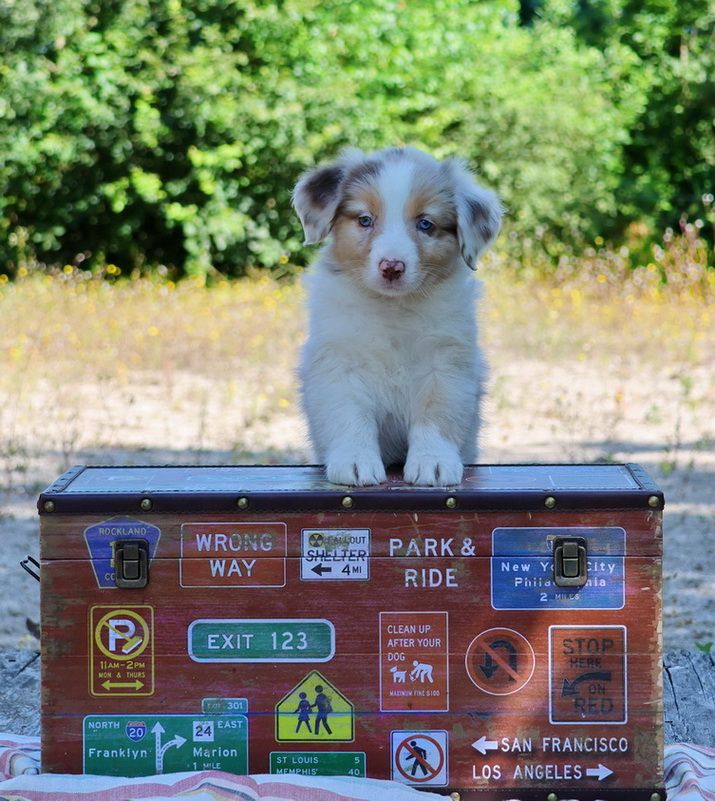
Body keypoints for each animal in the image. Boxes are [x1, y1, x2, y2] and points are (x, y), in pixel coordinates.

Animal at [293, 146, 501, 487]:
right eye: (365, 219)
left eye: (426, 224)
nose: (392, 267)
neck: (393, 308)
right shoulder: (339, 362)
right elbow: (350, 417)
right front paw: (354, 461)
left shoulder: (446, 364)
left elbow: (436, 416)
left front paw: (433, 462)